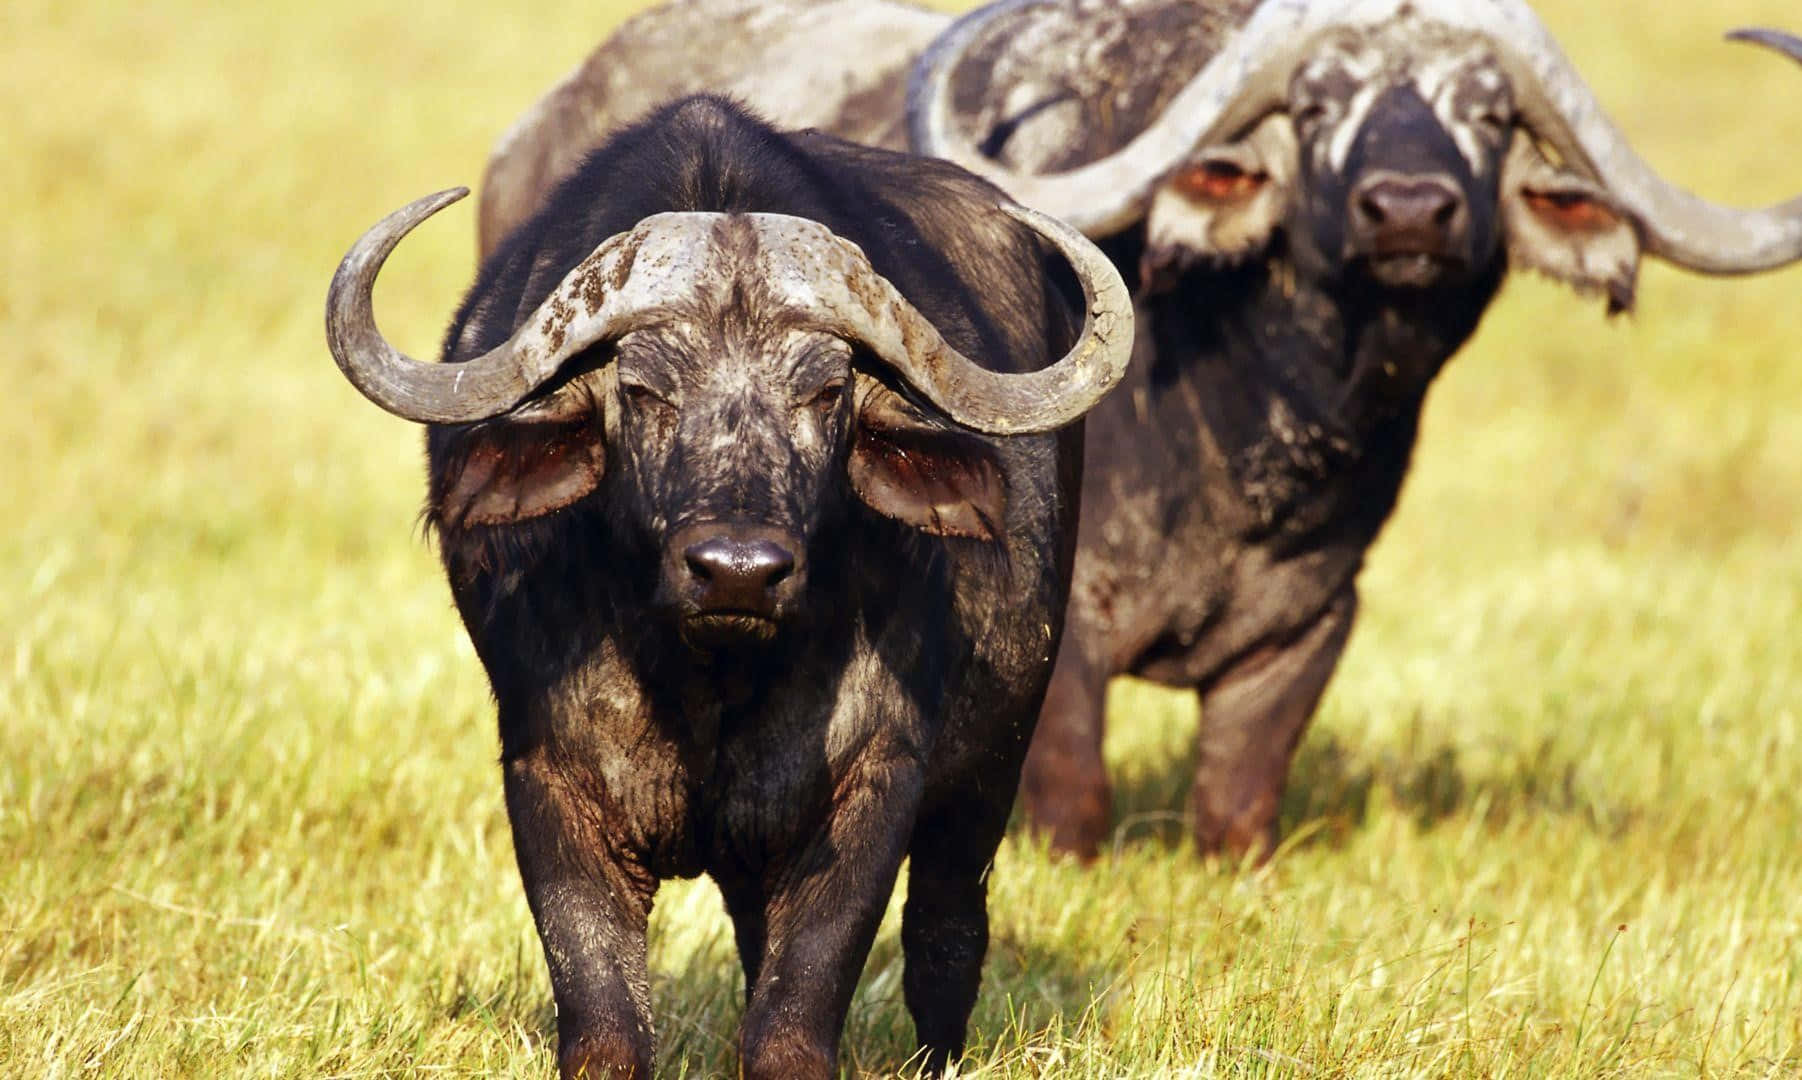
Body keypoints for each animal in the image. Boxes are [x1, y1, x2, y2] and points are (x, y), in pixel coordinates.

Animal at [325, 96, 1132, 1078]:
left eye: (826, 393)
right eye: (642, 389)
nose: (737, 571)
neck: (707, 678)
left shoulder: (875, 780)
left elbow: (793, 1019)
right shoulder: (549, 778)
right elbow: (606, 1024)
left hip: (993, 767)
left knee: (947, 934)